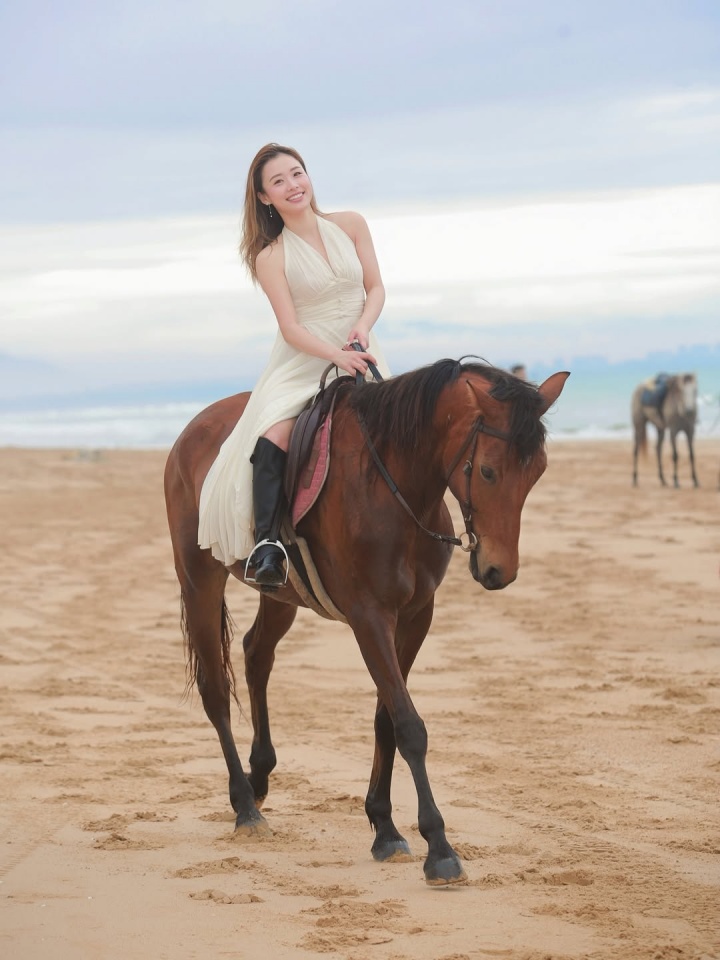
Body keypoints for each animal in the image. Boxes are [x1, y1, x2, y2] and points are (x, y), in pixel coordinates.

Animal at [164, 358, 569, 886]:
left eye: (537, 472)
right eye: (487, 470)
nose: (500, 572)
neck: (396, 485)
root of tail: (194, 428)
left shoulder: (415, 617)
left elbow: (386, 720)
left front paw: (384, 826)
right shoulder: (369, 617)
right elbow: (410, 725)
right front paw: (438, 847)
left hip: (282, 594)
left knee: (256, 653)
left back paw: (260, 776)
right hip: (198, 578)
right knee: (215, 689)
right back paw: (245, 806)